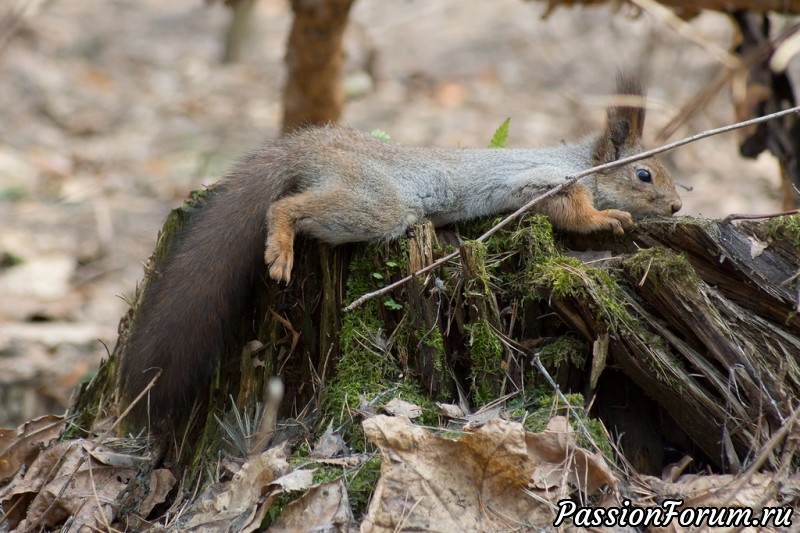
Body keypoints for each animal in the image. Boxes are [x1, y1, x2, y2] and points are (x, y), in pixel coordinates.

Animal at [119, 74, 680, 428]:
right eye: (644, 174)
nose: (676, 205)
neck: (577, 162)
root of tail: (317, 146)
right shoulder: (545, 183)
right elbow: (572, 210)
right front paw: (607, 219)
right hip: (374, 205)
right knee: (286, 207)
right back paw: (279, 249)